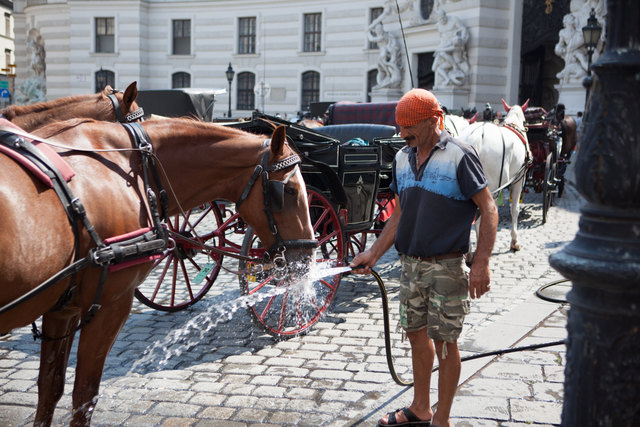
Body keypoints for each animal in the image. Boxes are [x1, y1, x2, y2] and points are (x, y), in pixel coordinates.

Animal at [0, 117, 316, 425]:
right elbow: (83, 396)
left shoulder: (63, 309)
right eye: (289, 190)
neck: (134, 170)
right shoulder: (108, 305)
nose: (308, 258)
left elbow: (51, 388)